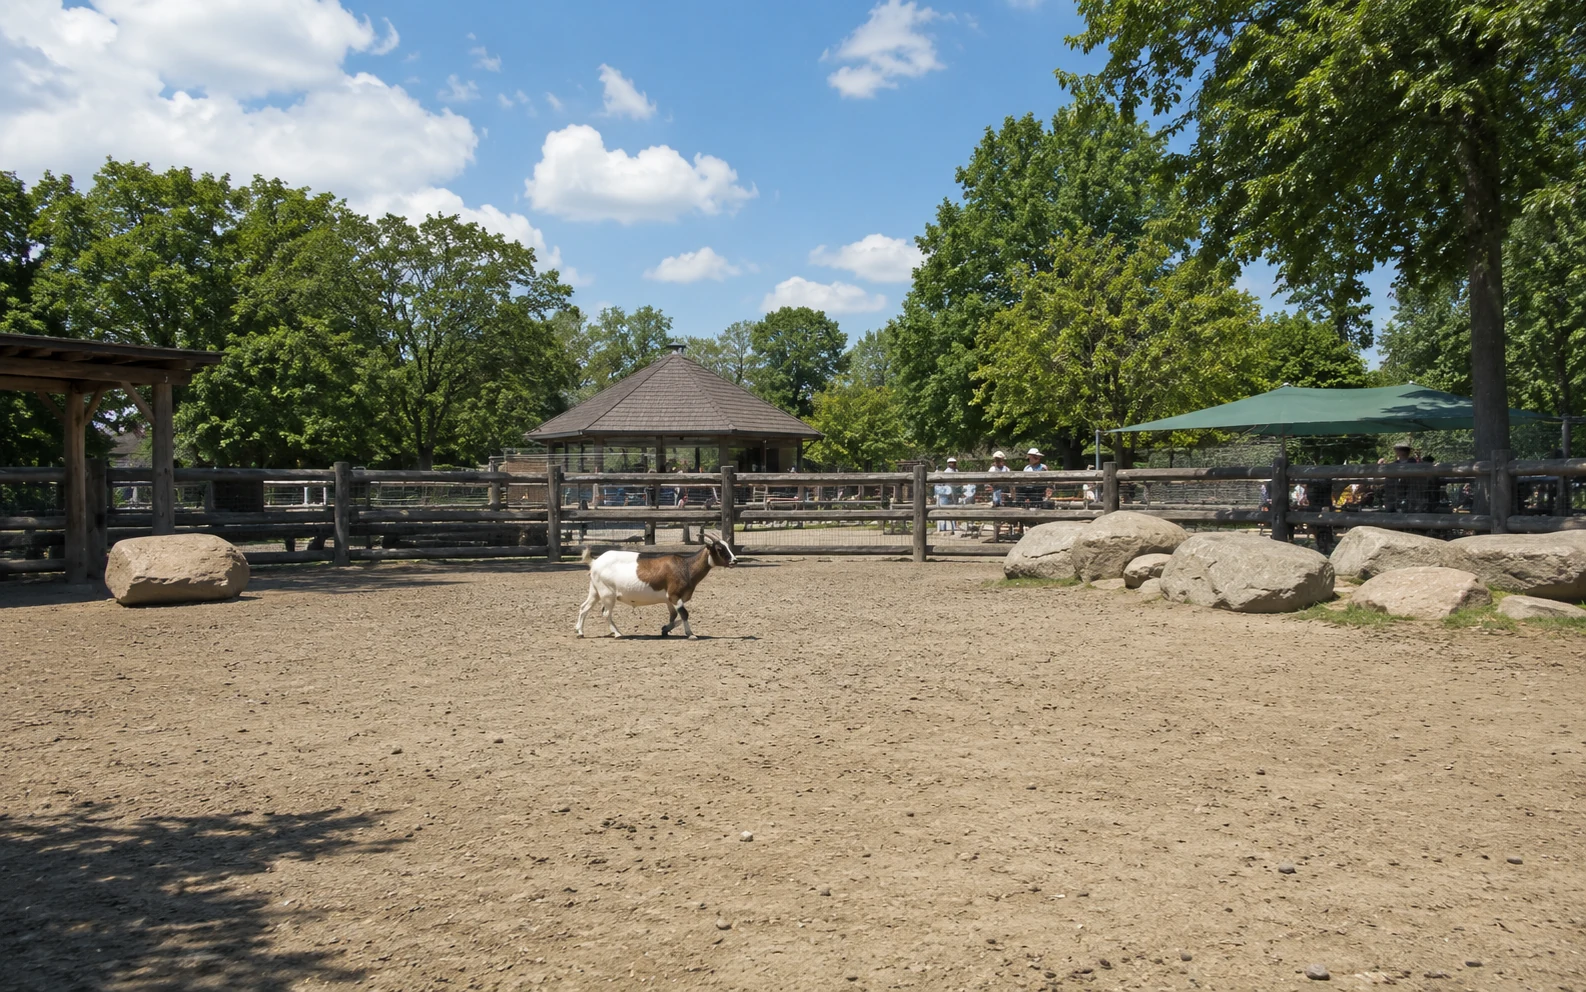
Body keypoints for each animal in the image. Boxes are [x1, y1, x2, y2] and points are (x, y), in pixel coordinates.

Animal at [576, 532, 738, 639]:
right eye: (719, 549)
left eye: (728, 546)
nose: (735, 560)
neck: (685, 567)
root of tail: (595, 562)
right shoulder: (674, 595)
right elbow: (684, 614)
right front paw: (691, 634)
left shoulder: (670, 600)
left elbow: (674, 616)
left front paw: (665, 629)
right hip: (608, 593)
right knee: (606, 613)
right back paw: (617, 633)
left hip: (595, 591)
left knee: (584, 607)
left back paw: (580, 631)